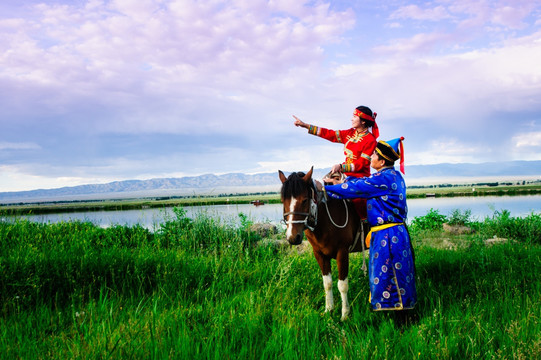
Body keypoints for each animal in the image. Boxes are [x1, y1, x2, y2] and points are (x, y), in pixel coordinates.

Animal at [276, 167, 370, 320]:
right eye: (283, 200)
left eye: (305, 200)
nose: (293, 237)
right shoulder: (319, 254)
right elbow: (327, 283)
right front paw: (329, 310)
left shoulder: (342, 252)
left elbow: (342, 285)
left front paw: (345, 315)